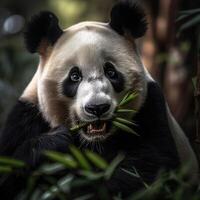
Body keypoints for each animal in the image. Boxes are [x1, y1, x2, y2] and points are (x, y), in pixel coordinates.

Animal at [0, 0, 198, 198]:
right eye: (74, 76)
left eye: (111, 72)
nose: (97, 108)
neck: (95, 141)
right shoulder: (28, 116)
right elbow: (10, 170)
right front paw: (54, 144)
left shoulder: (150, 107)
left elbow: (150, 171)